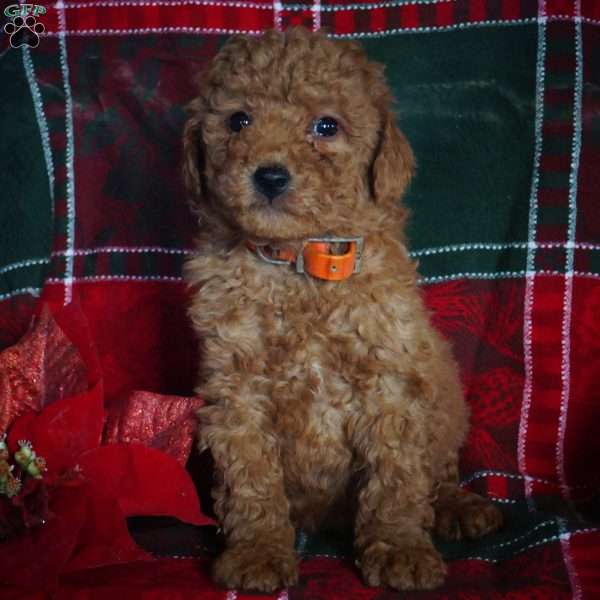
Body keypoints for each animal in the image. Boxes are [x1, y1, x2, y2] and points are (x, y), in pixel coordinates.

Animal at [183, 27, 502, 592]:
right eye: (238, 120)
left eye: (326, 126)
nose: (270, 176)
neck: (300, 264)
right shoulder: (236, 391)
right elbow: (250, 478)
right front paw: (257, 552)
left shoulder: (391, 383)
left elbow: (395, 481)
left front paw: (399, 550)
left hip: (447, 408)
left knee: (438, 475)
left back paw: (460, 507)